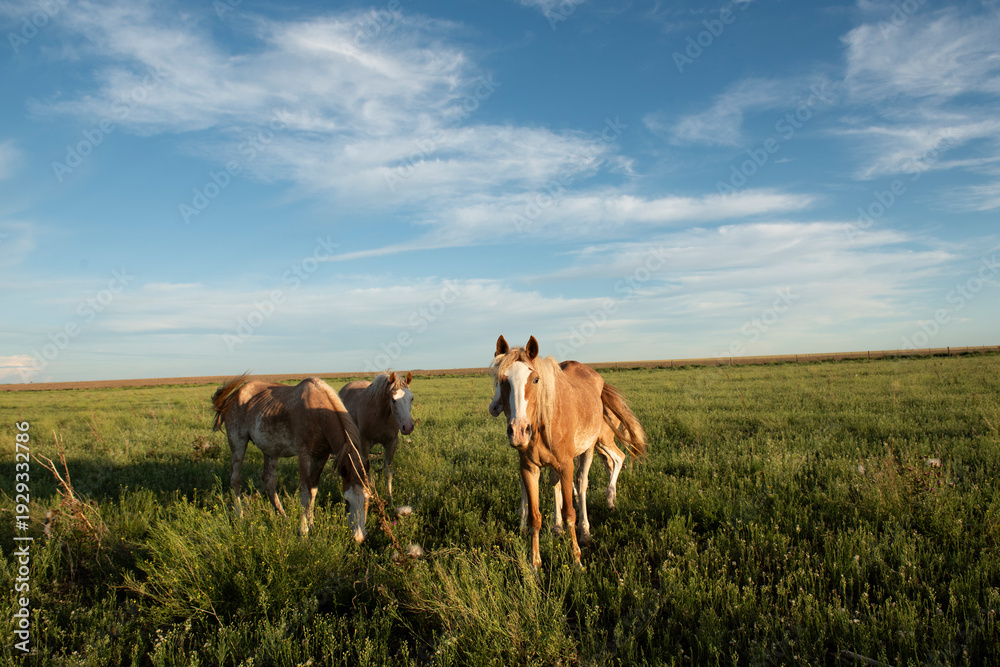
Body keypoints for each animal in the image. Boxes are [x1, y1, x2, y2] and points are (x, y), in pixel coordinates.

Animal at [211, 374, 369, 542]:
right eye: (346, 500)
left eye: (368, 499)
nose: (359, 537)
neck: (318, 413)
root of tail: (233, 396)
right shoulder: (304, 456)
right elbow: (305, 493)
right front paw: (303, 532)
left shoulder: (321, 457)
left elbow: (313, 491)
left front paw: (312, 525)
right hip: (238, 443)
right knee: (235, 479)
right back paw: (240, 517)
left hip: (270, 450)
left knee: (268, 480)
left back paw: (283, 516)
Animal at [338, 371, 415, 502]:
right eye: (393, 400)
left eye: (411, 398)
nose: (408, 426)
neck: (380, 415)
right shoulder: (364, 444)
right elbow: (366, 471)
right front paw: (369, 494)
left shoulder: (391, 443)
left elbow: (388, 471)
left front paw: (389, 497)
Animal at [490, 335, 647, 568]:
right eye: (501, 380)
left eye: (535, 379)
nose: (518, 431)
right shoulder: (529, 468)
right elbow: (535, 516)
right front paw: (534, 563)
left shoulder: (566, 464)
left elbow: (570, 513)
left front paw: (577, 560)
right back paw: (558, 527)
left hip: (590, 448)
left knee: (584, 483)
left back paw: (589, 526)